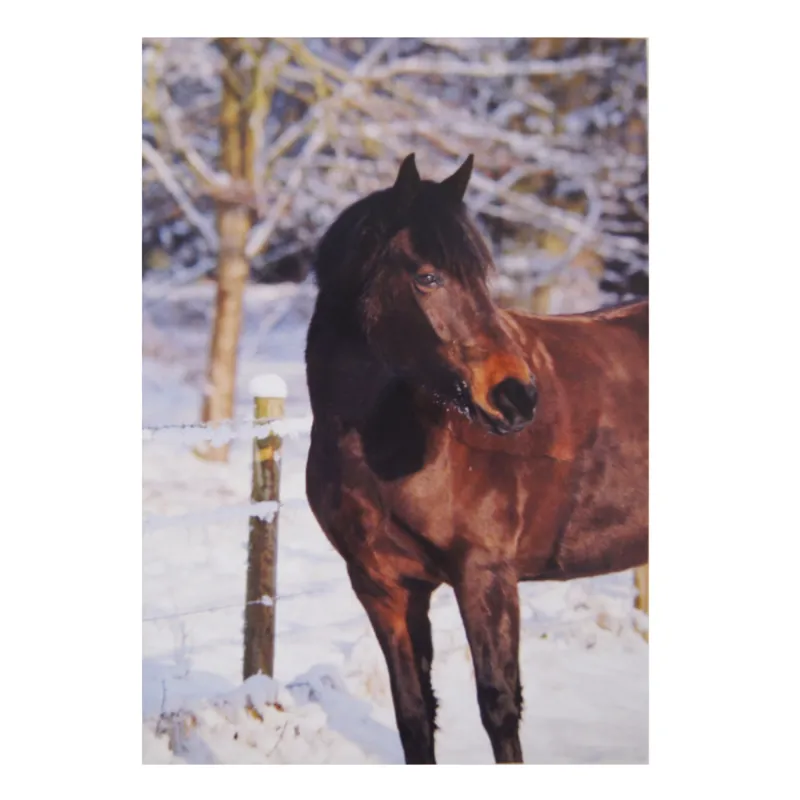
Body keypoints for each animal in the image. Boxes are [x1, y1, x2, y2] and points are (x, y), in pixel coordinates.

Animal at [305, 153, 648, 764]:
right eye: (427, 277)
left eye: (481, 277)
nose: (517, 397)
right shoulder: (383, 588)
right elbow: (414, 715)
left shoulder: (486, 577)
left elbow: (499, 708)